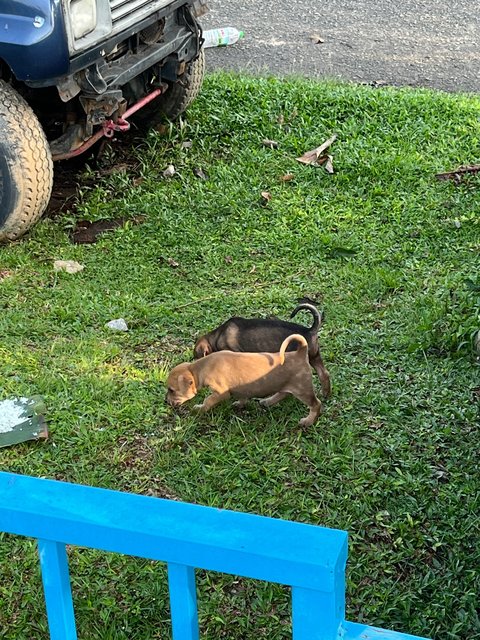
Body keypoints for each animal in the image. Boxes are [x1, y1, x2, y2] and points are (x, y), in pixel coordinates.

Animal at [166, 336, 322, 424]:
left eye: (171, 390)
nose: (165, 402)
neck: (200, 368)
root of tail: (300, 352)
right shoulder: (241, 389)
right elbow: (242, 397)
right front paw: (240, 404)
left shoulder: (221, 393)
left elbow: (208, 400)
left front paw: (199, 409)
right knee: (283, 393)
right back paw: (268, 401)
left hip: (303, 390)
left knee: (316, 404)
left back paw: (308, 421)